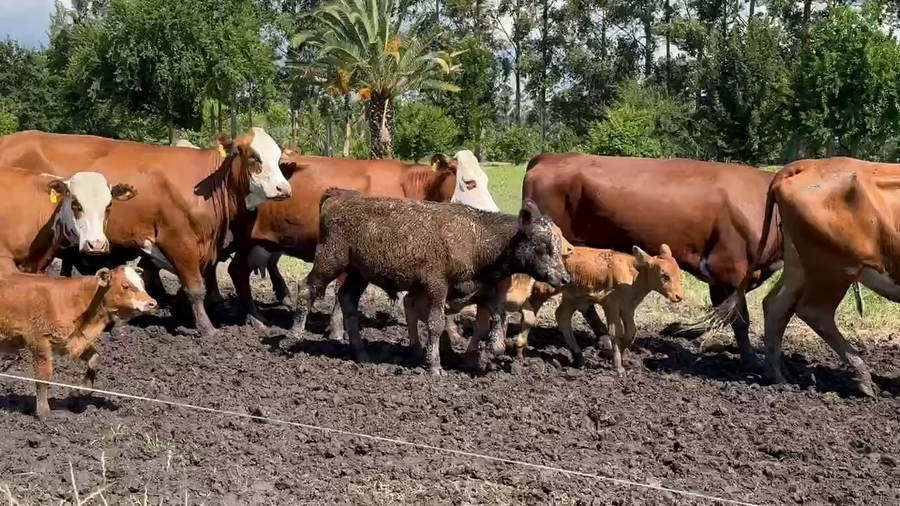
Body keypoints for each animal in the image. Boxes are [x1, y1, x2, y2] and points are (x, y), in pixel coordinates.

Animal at [0, 265, 157, 418]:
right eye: (126, 286)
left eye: (142, 283)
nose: (153, 303)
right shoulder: (39, 341)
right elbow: (43, 376)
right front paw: (44, 413)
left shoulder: (70, 341)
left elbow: (95, 359)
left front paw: (82, 390)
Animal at [294, 190, 570, 375]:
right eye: (543, 246)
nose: (565, 277)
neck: (476, 239)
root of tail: (338, 197)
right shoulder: (436, 286)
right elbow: (435, 324)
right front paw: (434, 365)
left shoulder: (487, 293)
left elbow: (498, 333)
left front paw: (483, 356)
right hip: (329, 261)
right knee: (306, 289)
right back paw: (294, 336)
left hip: (357, 274)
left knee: (348, 301)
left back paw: (362, 353)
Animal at [522, 153, 785, 367]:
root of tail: (549, 157)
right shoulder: (729, 271)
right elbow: (739, 319)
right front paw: (750, 359)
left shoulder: (723, 278)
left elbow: (723, 314)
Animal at [712, 158, 900, 397]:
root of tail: (809, 164)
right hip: (835, 267)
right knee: (815, 311)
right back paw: (863, 379)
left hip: (799, 264)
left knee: (776, 306)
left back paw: (777, 375)